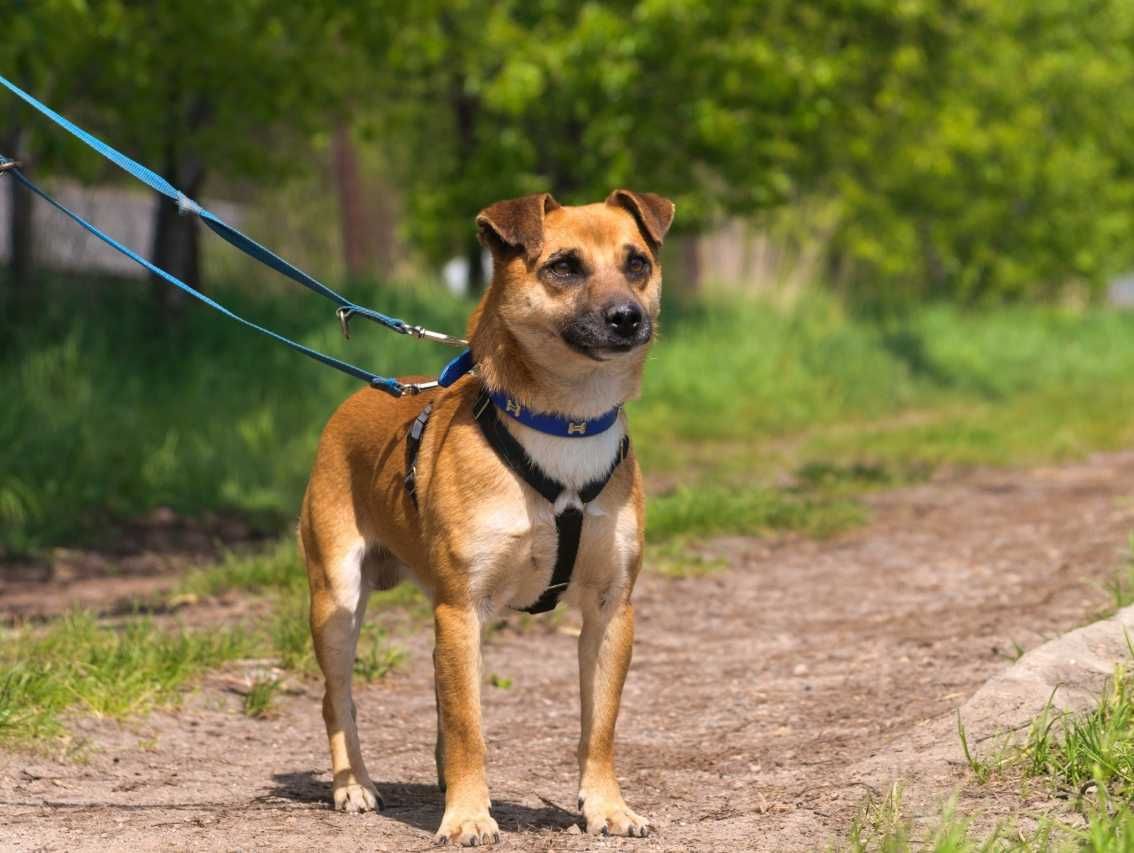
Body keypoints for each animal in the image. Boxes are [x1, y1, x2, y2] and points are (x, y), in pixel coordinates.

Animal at [299, 188, 671, 848]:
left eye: (637, 263)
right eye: (564, 266)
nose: (627, 317)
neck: (566, 424)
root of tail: (363, 394)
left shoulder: (612, 610)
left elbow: (599, 726)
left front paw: (607, 806)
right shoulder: (462, 607)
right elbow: (470, 727)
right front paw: (469, 815)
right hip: (337, 599)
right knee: (337, 698)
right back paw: (353, 785)